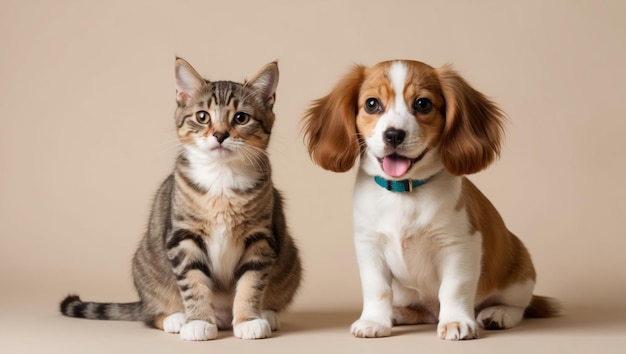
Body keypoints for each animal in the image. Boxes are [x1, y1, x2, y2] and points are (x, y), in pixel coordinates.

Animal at [59, 57, 302, 340]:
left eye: (241, 118)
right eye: (202, 116)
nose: (220, 134)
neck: (221, 177)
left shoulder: (260, 237)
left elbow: (251, 283)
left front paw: (248, 320)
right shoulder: (183, 236)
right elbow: (193, 282)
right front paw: (198, 321)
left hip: (291, 260)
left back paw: (266, 314)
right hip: (145, 264)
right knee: (149, 314)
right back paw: (175, 318)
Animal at [302, 60, 556, 340]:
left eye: (423, 104)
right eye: (371, 104)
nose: (393, 135)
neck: (404, 193)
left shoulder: (459, 245)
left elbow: (454, 288)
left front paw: (456, 321)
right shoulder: (369, 246)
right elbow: (377, 288)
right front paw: (374, 321)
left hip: (519, 275)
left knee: (520, 306)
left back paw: (498, 314)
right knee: (420, 311)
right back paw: (399, 313)